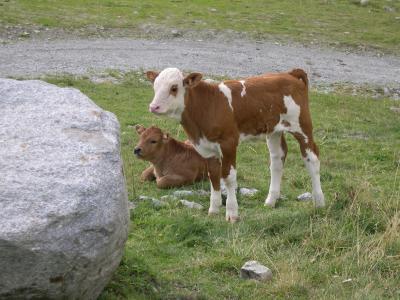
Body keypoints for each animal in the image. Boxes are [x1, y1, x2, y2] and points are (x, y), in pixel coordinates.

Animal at [147, 68, 324, 223]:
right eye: (155, 86)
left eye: (174, 87)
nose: (153, 107)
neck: (208, 105)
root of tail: (289, 74)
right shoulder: (207, 148)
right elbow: (214, 176)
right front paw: (213, 210)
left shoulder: (229, 143)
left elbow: (228, 177)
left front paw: (232, 214)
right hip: (274, 131)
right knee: (277, 160)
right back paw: (270, 201)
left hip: (302, 126)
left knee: (312, 159)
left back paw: (319, 202)